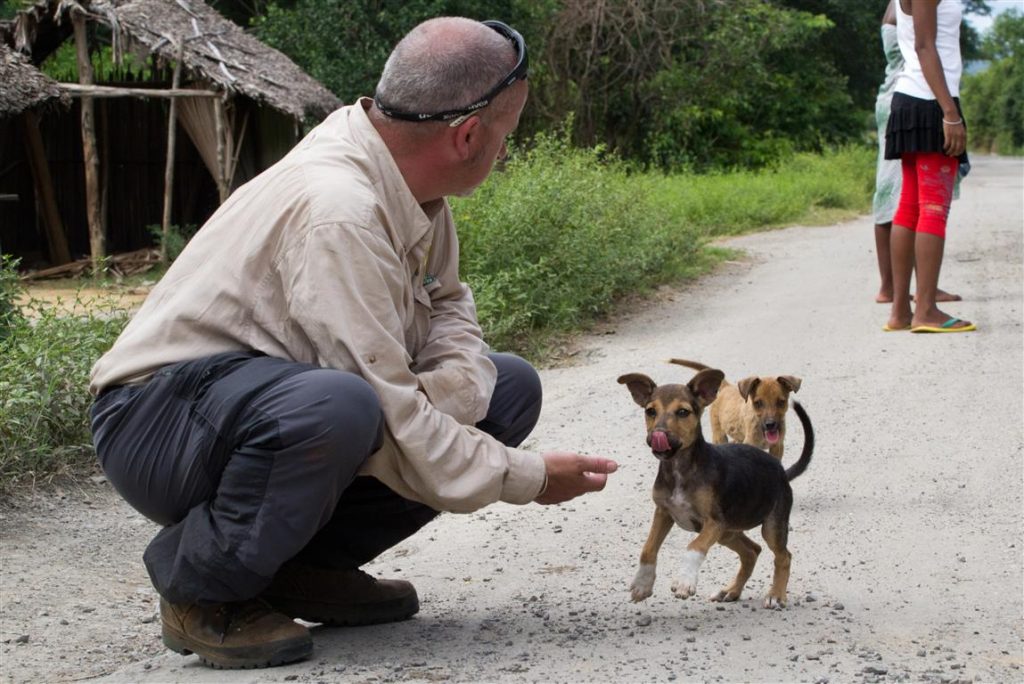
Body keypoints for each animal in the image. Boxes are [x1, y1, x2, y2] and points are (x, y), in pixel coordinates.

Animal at [618, 368, 811, 610]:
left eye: (683, 412)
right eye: (650, 411)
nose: (657, 436)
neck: (680, 469)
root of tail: (781, 469)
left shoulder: (713, 522)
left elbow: (694, 546)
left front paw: (684, 581)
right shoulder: (663, 513)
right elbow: (648, 548)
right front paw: (642, 584)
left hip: (770, 525)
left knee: (783, 556)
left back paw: (775, 595)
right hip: (728, 532)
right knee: (752, 551)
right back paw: (730, 591)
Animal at [667, 358, 802, 458]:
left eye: (781, 402)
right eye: (758, 403)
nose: (770, 425)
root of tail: (726, 387)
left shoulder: (777, 447)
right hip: (719, 435)